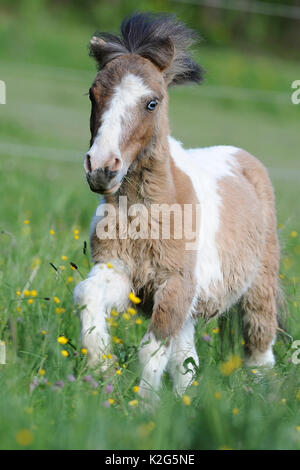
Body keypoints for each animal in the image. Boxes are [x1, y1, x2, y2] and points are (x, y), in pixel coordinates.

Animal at [74, 12, 280, 398]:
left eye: (151, 102)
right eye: (93, 95)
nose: (102, 167)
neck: (147, 215)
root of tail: (244, 158)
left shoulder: (174, 286)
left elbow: (151, 350)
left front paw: (143, 407)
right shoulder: (124, 275)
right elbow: (86, 294)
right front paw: (102, 366)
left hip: (257, 290)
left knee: (261, 355)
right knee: (187, 362)